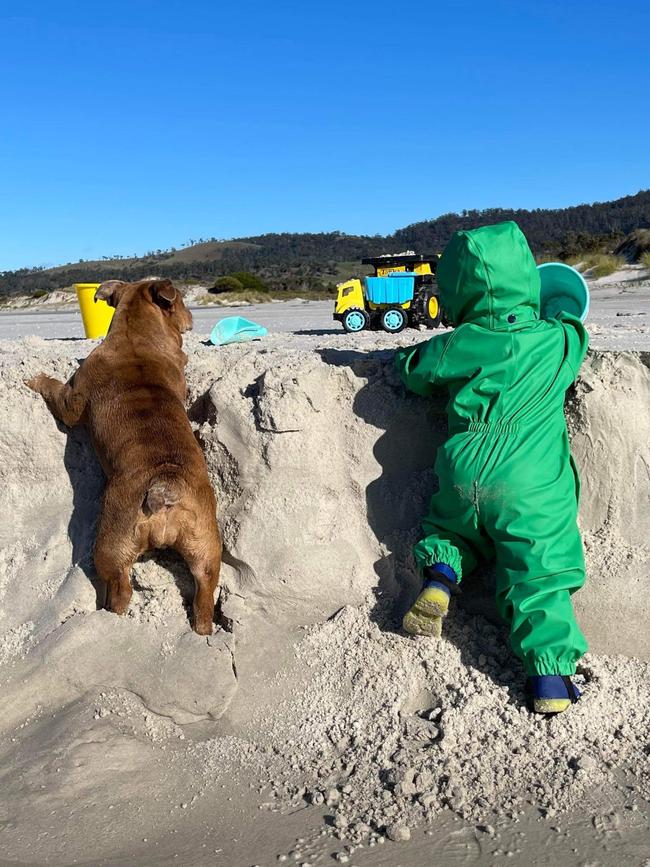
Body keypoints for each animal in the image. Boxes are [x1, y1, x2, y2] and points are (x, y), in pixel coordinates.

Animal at [26, 282, 220, 636]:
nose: (192, 317)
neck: (135, 338)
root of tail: (165, 486)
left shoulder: (70, 402)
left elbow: (54, 390)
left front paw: (37, 378)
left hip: (111, 547)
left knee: (121, 590)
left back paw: (108, 614)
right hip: (206, 549)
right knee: (203, 596)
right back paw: (203, 629)